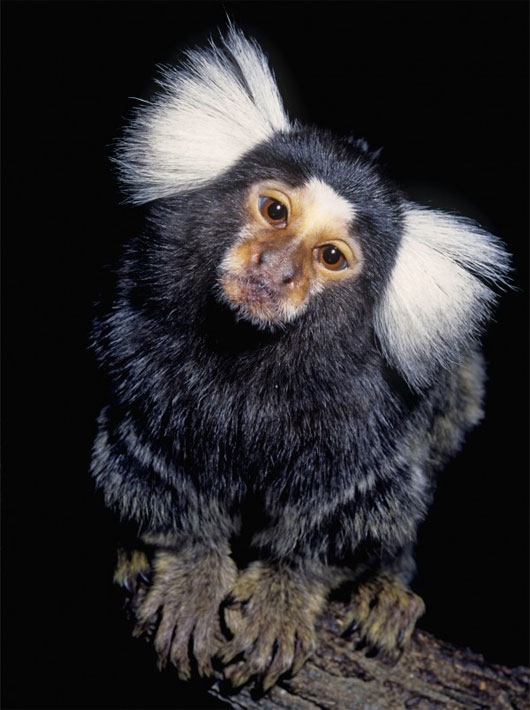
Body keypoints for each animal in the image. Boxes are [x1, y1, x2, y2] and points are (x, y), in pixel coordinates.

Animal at [91, 27, 511, 691]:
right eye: (275, 211)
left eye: (331, 256)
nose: (276, 269)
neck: (250, 350)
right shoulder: (137, 323)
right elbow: (148, 456)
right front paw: (191, 569)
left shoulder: (376, 413)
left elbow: (353, 506)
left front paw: (286, 593)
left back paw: (386, 591)